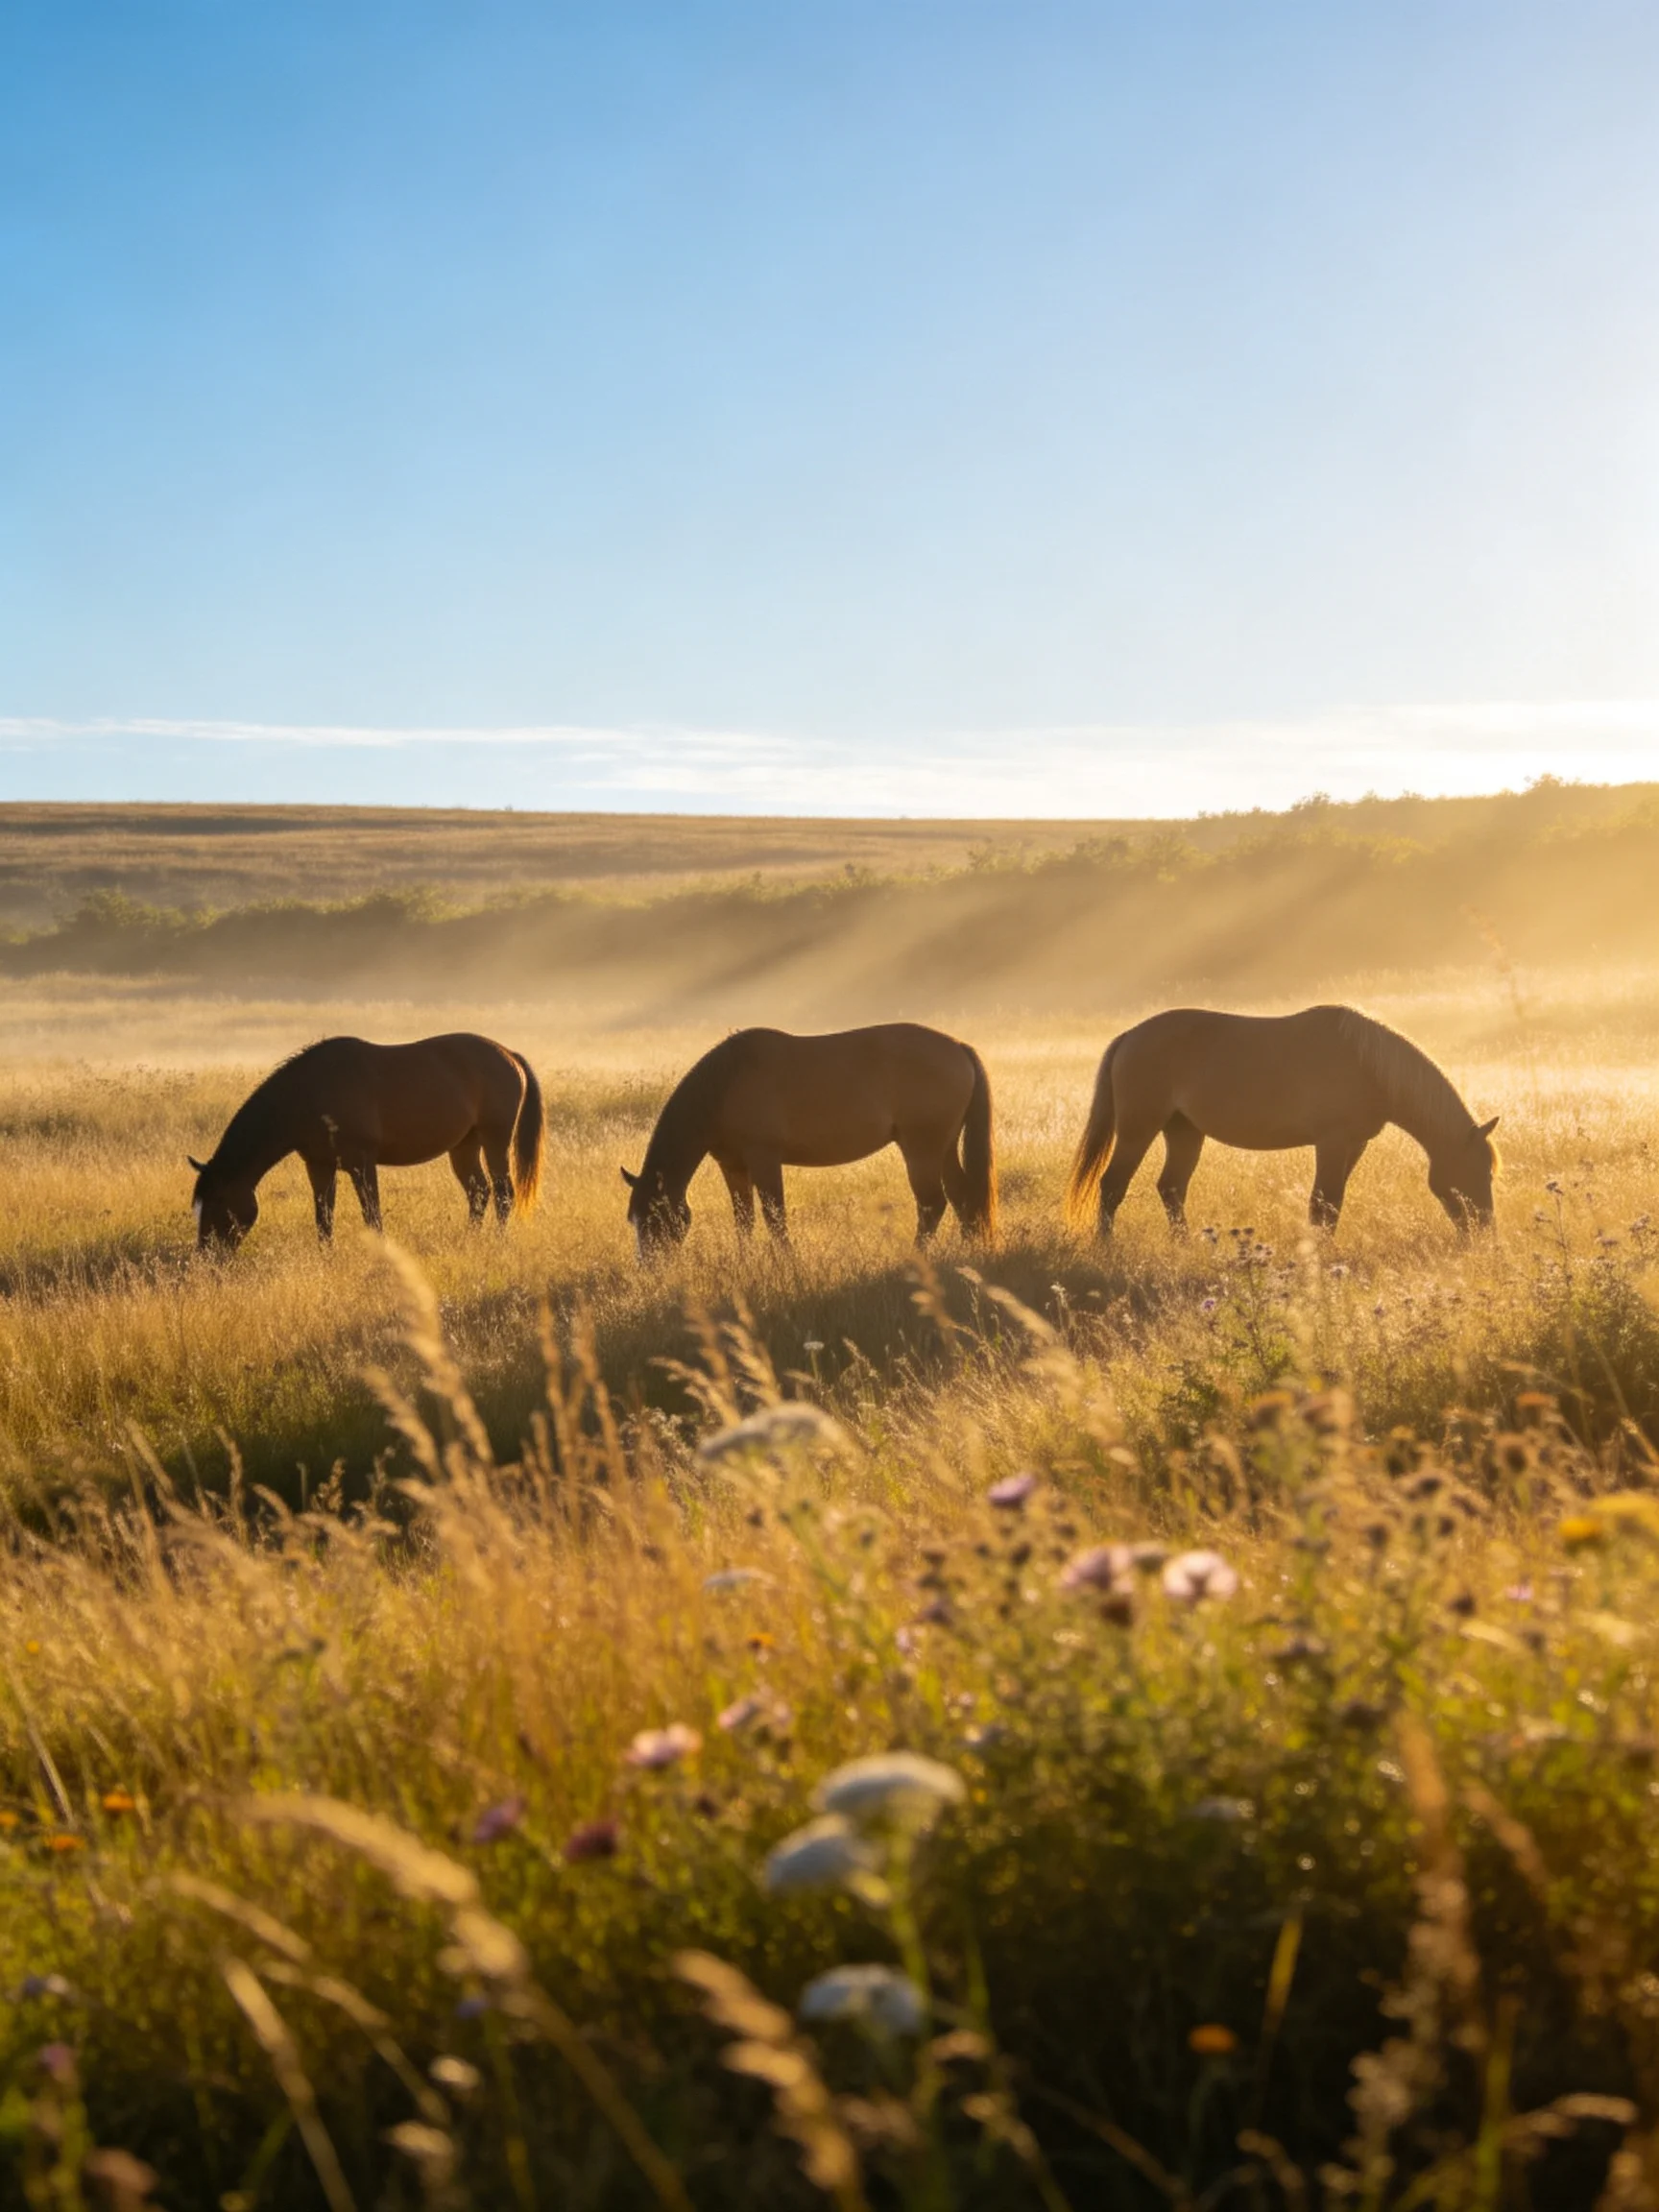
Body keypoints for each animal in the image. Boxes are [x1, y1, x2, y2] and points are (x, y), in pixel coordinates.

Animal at [189, 1033, 545, 1249]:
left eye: (219, 1202)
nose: (207, 1256)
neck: (311, 1093)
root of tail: (509, 1055)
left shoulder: (362, 1163)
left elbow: (371, 1214)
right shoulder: (319, 1165)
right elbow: (324, 1216)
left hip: (495, 1139)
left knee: (502, 1192)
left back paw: (497, 1241)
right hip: (464, 1146)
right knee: (478, 1192)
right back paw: (470, 1239)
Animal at [621, 1023, 996, 1257]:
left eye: (654, 1217)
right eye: (633, 1219)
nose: (650, 1268)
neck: (726, 1085)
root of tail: (958, 1048)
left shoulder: (764, 1159)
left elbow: (774, 1217)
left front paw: (787, 1262)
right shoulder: (733, 1167)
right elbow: (744, 1220)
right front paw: (745, 1262)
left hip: (921, 1150)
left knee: (933, 1204)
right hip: (943, 1149)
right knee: (962, 1197)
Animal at [1066, 1004, 1498, 1237]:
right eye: (1477, 1172)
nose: (1484, 1234)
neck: (1368, 1066)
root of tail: (1130, 1036)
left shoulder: (1354, 1144)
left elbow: (1331, 1205)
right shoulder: (1332, 1141)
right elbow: (1323, 1201)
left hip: (1184, 1132)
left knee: (1171, 1189)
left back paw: (1183, 1246)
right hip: (1138, 1129)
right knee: (1112, 1186)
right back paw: (1106, 1247)